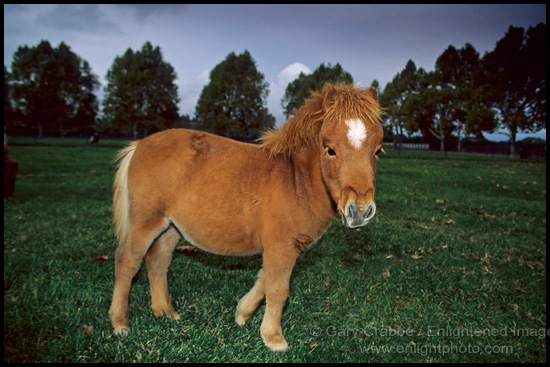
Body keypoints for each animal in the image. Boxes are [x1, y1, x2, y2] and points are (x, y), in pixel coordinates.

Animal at [108, 82, 384, 350]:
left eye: (378, 151)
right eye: (330, 149)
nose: (360, 211)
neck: (297, 180)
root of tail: (139, 145)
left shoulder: (283, 247)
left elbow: (264, 280)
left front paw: (242, 314)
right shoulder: (281, 246)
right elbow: (278, 289)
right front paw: (274, 338)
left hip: (170, 227)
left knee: (157, 261)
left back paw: (166, 313)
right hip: (146, 219)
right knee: (127, 260)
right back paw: (120, 324)